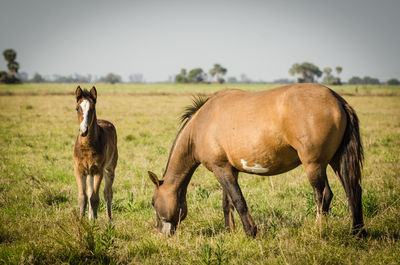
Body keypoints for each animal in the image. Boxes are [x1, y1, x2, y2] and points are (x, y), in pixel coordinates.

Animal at [72, 86, 118, 219]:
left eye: (92, 109)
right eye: (77, 108)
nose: (83, 130)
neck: (87, 147)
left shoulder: (99, 171)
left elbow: (95, 199)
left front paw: (94, 222)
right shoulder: (79, 170)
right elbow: (83, 198)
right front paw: (82, 221)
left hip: (109, 169)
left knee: (107, 194)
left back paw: (109, 219)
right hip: (89, 173)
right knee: (89, 191)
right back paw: (90, 217)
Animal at [148, 82, 366, 235]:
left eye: (152, 202)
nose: (160, 235)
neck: (201, 126)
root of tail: (338, 100)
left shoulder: (221, 169)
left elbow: (238, 201)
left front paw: (251, 232)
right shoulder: (228, 169)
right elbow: (227, 203)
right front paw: (229, 232)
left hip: (314, 165)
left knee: (323, 195)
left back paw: (318, 230)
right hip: (337, 161)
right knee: (353, 191)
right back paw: (357, 233)